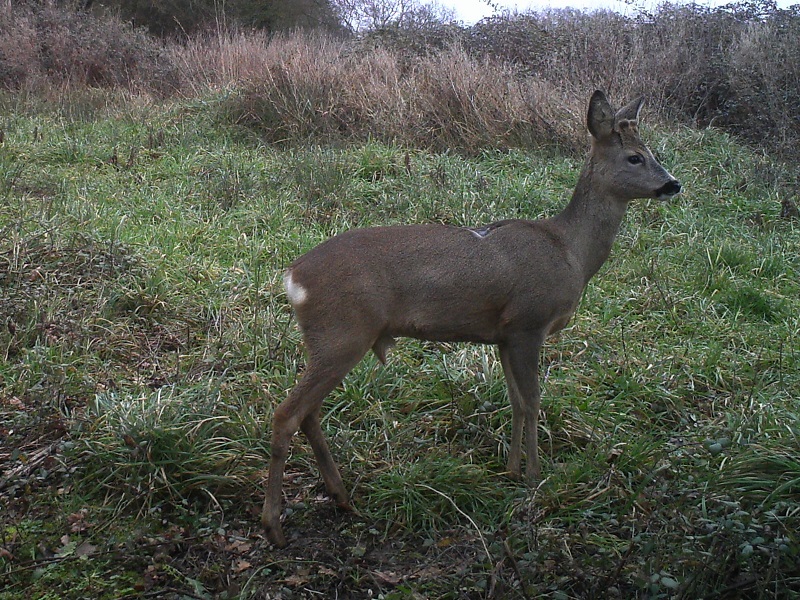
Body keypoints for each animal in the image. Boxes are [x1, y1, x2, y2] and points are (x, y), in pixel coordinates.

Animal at [262, 91, 680, 548]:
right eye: (635, 157)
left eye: (652, 152)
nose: (673, 184)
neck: (570, 252)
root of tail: (293, 277)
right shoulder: (528, 322)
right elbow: (533, 400)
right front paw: (535, 476)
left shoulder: (502, 335)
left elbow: (514, 400)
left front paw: (512, 470)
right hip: (343, 332)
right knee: (286, 414)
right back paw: (275, 527)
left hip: (333, 339)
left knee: (308, 414)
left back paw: (342, 498)